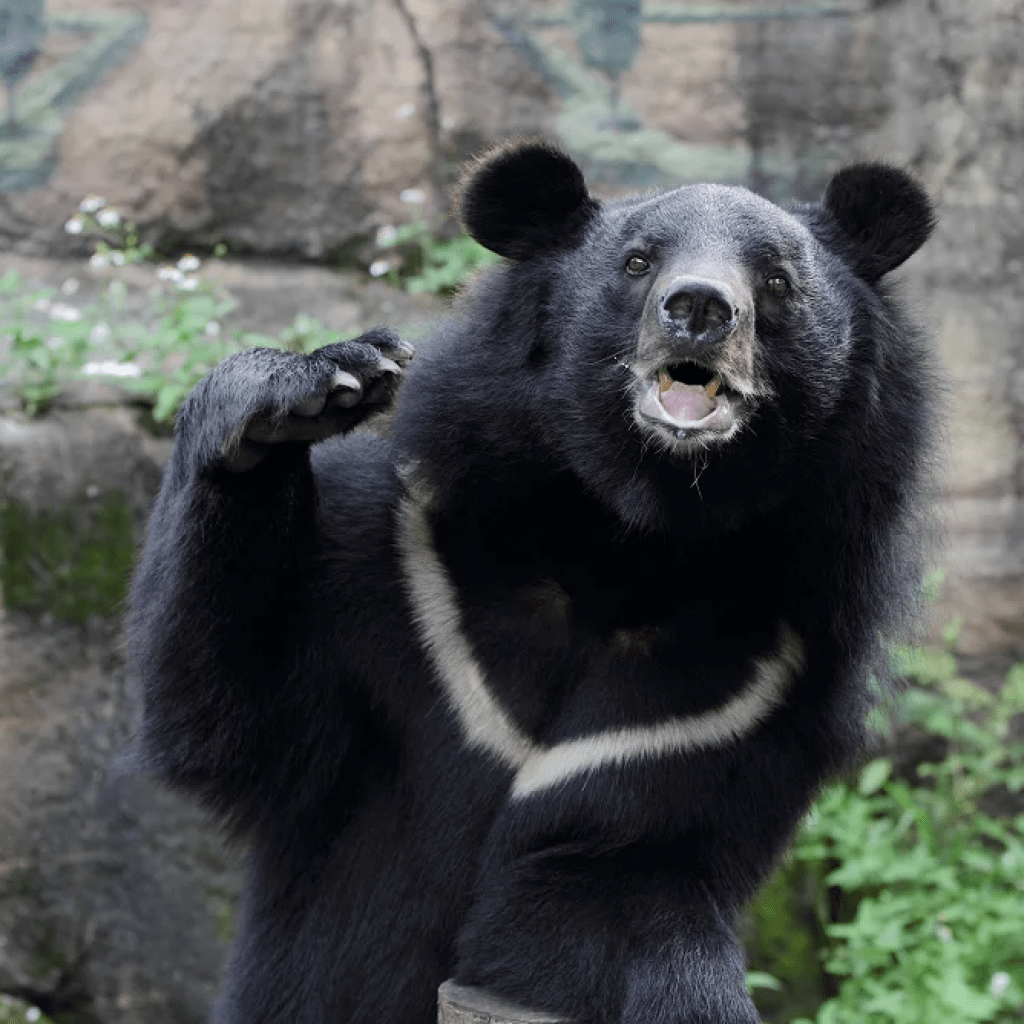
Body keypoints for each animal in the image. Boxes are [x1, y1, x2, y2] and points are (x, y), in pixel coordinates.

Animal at [128, 142, 937, 1024]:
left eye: (779, 281)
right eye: (638, 262)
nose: (699, 307)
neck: (633, 536)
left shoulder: (750, 694)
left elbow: (599, 879)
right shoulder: (404, 573)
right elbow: (236, 716)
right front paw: (311, 388)